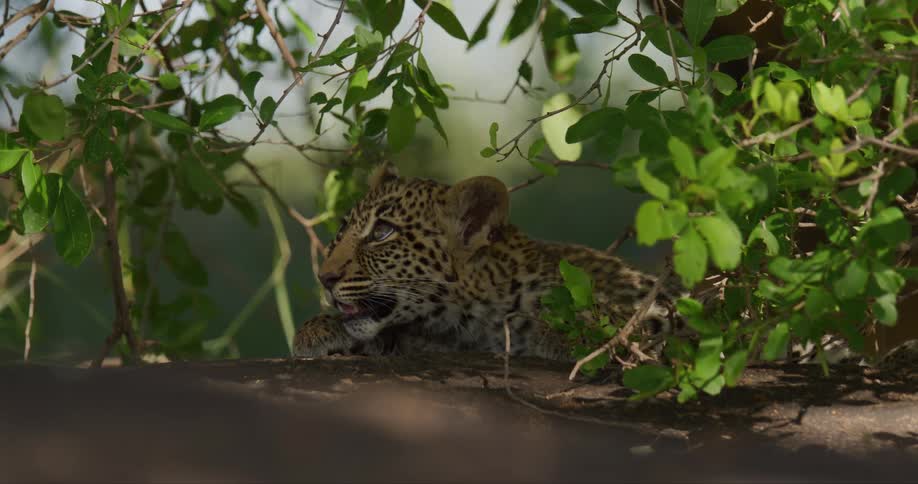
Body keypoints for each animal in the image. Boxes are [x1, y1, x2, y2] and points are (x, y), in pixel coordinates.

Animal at [293, 163, 683, 361]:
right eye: (342, 229)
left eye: (382, 233)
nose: (325, 278)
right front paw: (317, 329)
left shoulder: (656, 311)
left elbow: (601, 325)